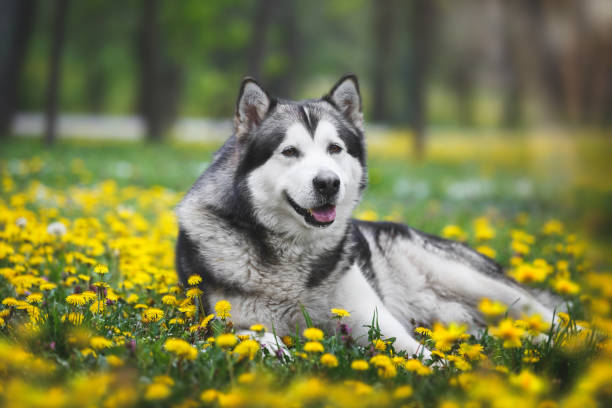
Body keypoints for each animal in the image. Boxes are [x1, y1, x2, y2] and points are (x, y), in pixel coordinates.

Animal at [175, 75, 556, 356]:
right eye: (290, 152)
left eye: (335, 149)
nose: (328, 183)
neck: (295, 253)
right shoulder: (223, 325)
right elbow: (260, 338)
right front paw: (281, 352)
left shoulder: (373, 322)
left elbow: (419, 354)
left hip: (474, 282)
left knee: (551, 316)